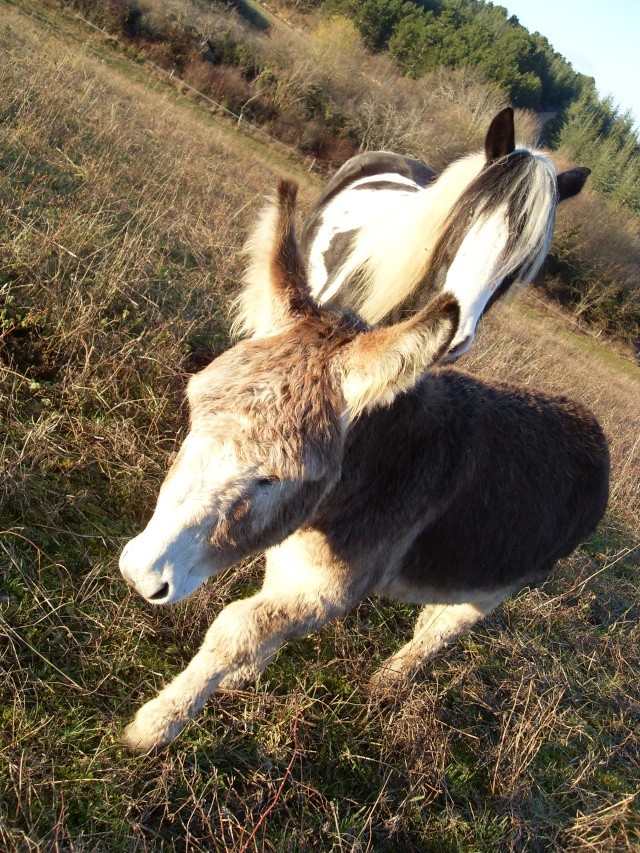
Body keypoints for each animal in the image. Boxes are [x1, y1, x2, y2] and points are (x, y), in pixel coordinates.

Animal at [121, 178, 608, 744]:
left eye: (273, 478)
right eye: (194, 413)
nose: (139, 575)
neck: (368, 476)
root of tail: (593, 427)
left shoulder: (334, 591)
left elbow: (237, 627)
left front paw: (159, 723)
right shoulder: (294, 565)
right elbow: (262, 622)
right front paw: (239, 678)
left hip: (493, 591)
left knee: (437, 632)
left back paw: (387, 685)